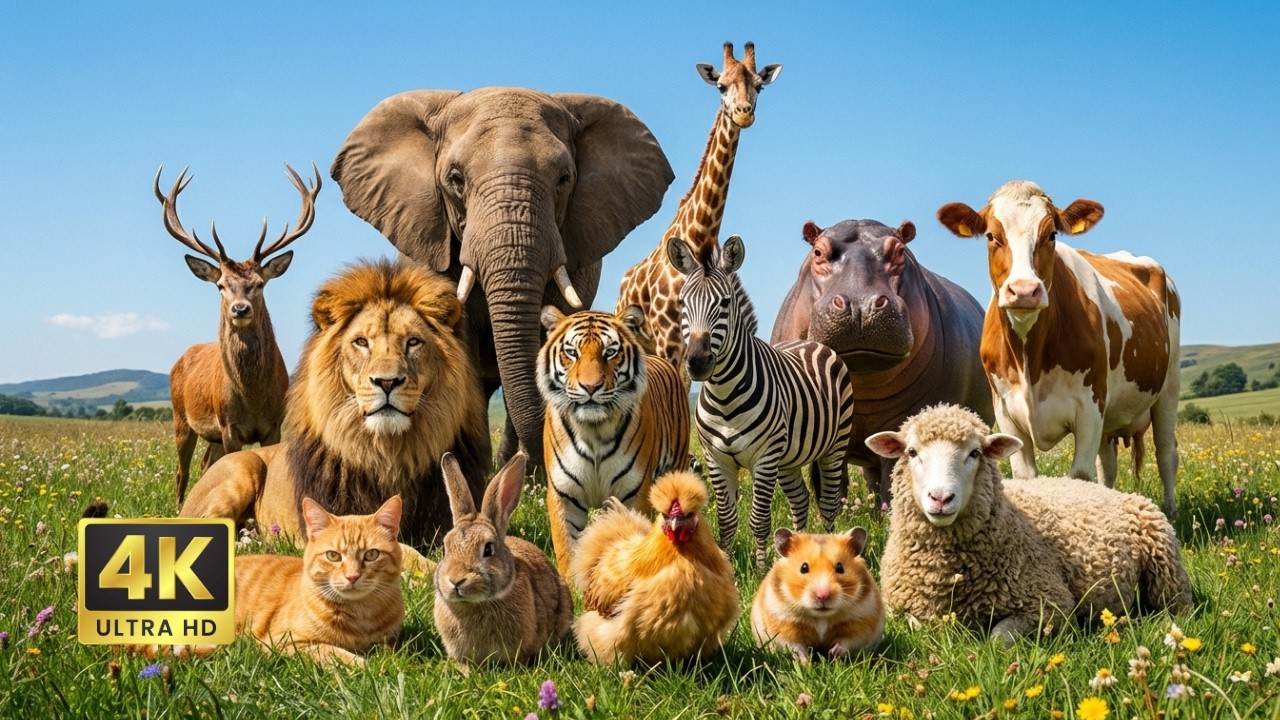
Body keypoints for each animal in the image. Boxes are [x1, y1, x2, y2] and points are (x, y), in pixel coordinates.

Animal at [180, 259, 491, 561]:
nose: (387, 382)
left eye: (413, 342)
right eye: (361, 342)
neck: (389, 454)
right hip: (240, 470)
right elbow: (398, 548)